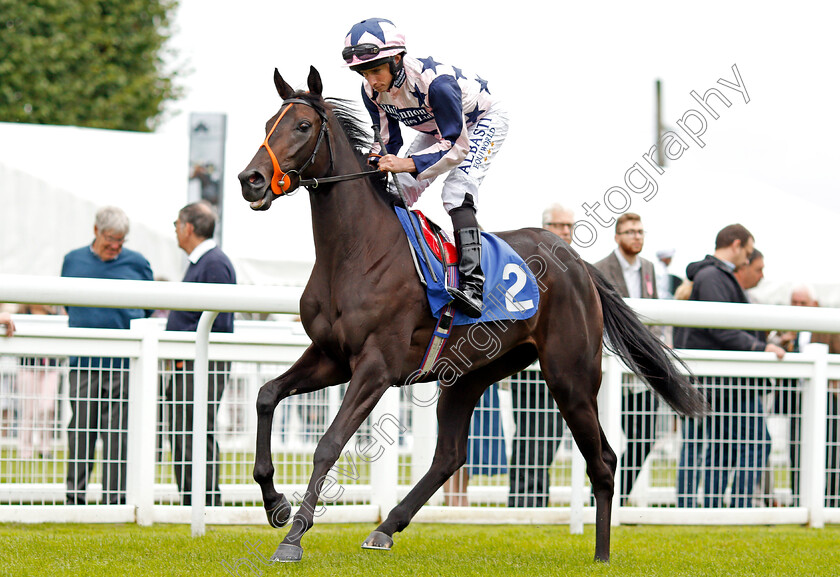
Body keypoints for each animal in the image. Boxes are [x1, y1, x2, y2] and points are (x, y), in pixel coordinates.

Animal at [238, 65, 708, 560]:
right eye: (268, 124)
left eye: (302, 126)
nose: (251, 179)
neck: (356, 251)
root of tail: (577, 261)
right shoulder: (331, 356)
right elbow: (266, 395)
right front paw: (276, 505)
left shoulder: (376, 366)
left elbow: (329, 444)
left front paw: (293, 537)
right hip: (469, 374)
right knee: (450, 456)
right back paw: (386, 527)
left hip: (571, 376)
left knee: (603, 459)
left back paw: (600, 554)